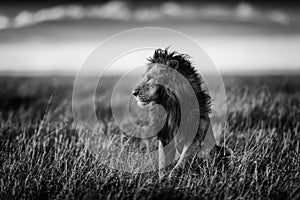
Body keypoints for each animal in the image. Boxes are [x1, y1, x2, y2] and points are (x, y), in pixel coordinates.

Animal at [132, 48, 232, 178]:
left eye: (150, 78)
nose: (134, 93)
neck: (171, 106)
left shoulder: (194, 138)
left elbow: (181, 163)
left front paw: (171, 178)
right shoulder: (165, 138)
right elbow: (163, 164)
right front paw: (161, 179)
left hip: (224, 150)